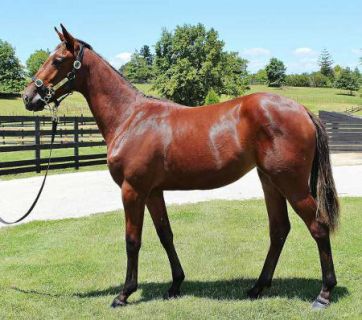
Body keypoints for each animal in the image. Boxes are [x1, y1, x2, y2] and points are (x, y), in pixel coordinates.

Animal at [22, 25, 340, 310]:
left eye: (57, 60)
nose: (28, 97)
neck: (130, 117)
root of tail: (302, 110)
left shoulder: (132, 190)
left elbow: (132, 240)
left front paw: (124, 294)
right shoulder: (153, 192)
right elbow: (165, 234)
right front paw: (175, 285)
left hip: (292, 184)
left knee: (318, 226)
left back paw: (324, 294)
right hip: (269, 181)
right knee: (279, 229)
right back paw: (257, 288)